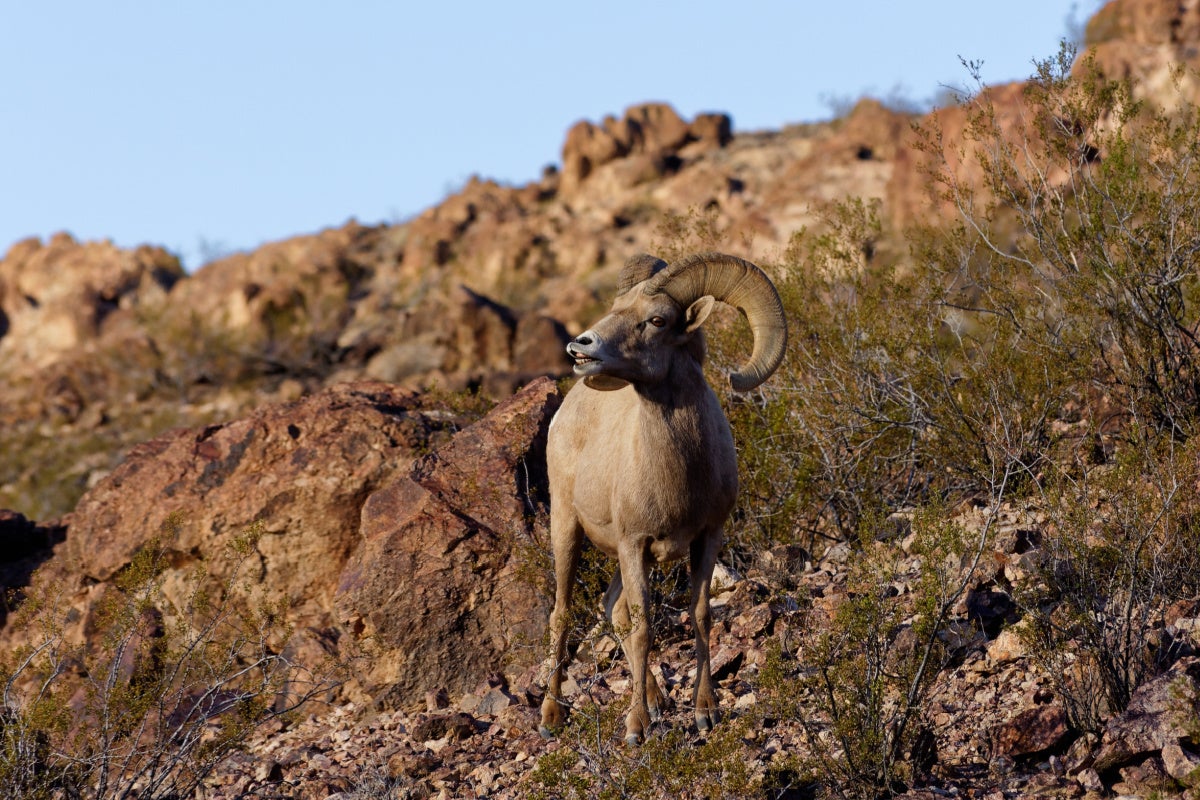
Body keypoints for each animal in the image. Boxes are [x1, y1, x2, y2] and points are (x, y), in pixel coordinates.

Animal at [537, 250, 787, 743]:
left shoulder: (707, 538)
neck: (680, 475)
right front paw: (637, 728)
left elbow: (700, 615)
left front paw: (705, 712)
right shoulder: (635, 544)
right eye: (618, 306)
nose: (581, 346)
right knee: (564, 615)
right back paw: (552, 716)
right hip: (568, 530)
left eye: (656, 320)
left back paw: (656, 699)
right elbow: (644, 629)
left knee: (612, 610)